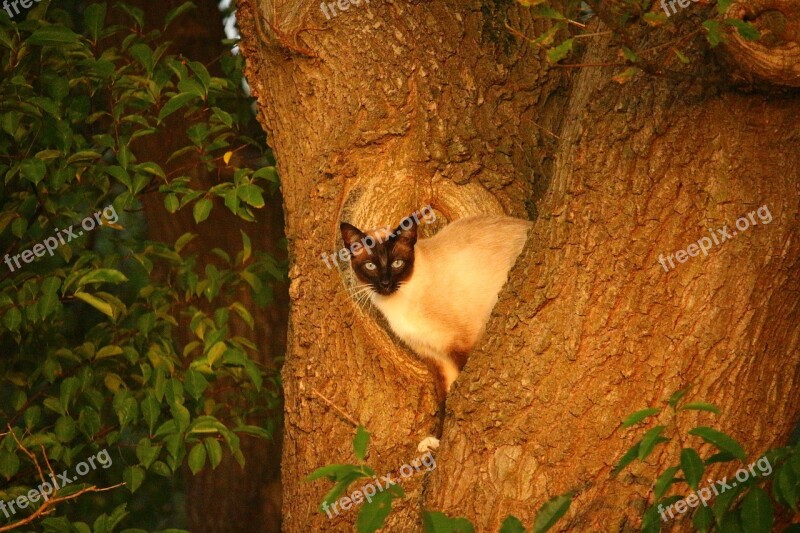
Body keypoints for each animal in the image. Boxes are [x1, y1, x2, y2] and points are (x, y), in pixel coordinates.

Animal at [340, 212, 532, 394]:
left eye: (397, 263)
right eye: (370, 266)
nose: (386, 284)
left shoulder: (459, 343)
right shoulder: (433, 356)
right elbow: (444, 395)